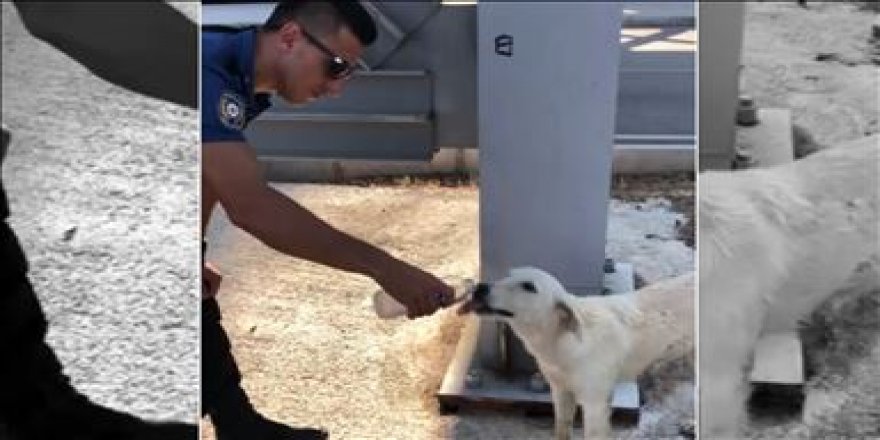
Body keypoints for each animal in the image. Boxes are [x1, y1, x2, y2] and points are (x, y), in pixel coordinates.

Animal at [460, 266, 696, 438]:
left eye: (529, 286)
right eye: (507, 275)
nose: (479, 288)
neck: (561, 343)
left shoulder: (595, 404)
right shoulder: (560, 392)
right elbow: (561, 428)